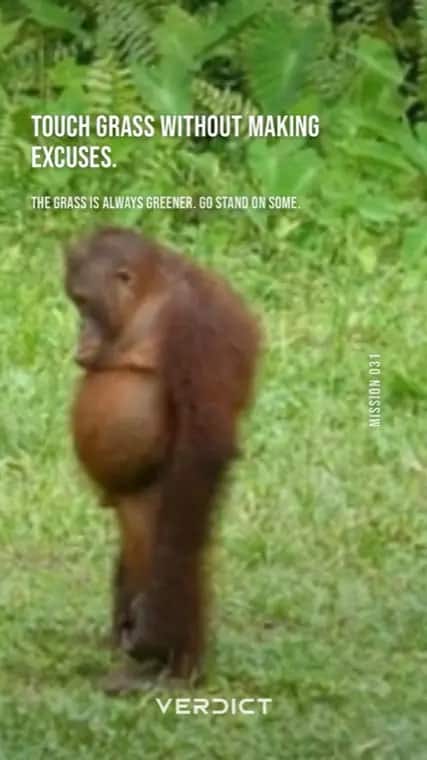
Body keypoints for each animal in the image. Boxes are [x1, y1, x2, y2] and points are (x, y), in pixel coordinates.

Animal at [65, 226, 261, 688]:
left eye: (83, 302)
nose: (79, 332)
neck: (150, 298)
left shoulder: (195, 327)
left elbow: (204, 444)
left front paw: (154, 631)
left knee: (174, 542)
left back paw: (172, 668)